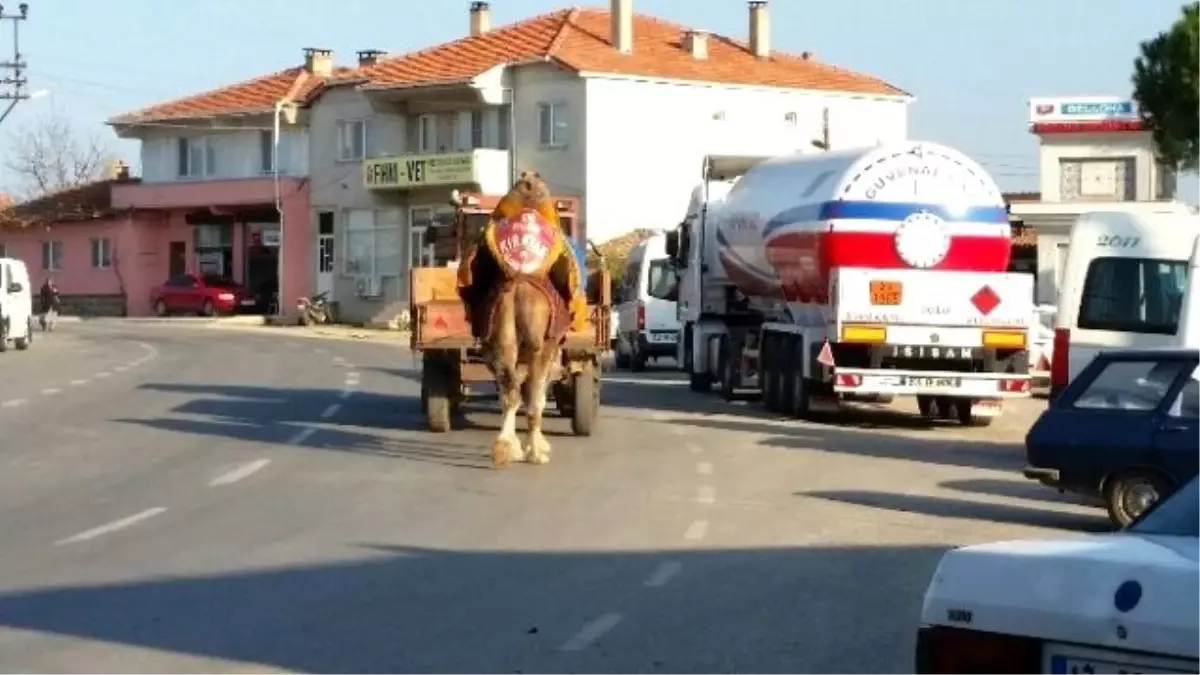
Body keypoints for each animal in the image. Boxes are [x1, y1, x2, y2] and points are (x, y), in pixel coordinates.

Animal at [456, 172, 588, 466]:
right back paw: (535, 452)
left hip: (501, 337)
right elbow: (538, 394)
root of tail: (519, 284)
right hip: (540, 345)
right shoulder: (550, 349)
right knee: (531, 395)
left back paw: (505, 448)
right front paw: (537, 446)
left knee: (510, 390)